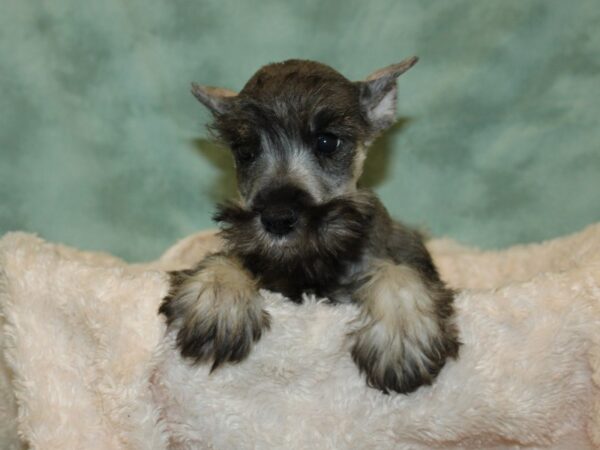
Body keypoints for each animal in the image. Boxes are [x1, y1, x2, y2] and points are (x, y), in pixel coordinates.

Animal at [159, 56, 460, 394]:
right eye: (245, 151)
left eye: (327, 142)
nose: (277, 218)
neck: (314, 260)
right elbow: (230, 257)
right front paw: (217, 298)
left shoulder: (403, 249)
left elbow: (399, 271)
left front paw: (402, 336)